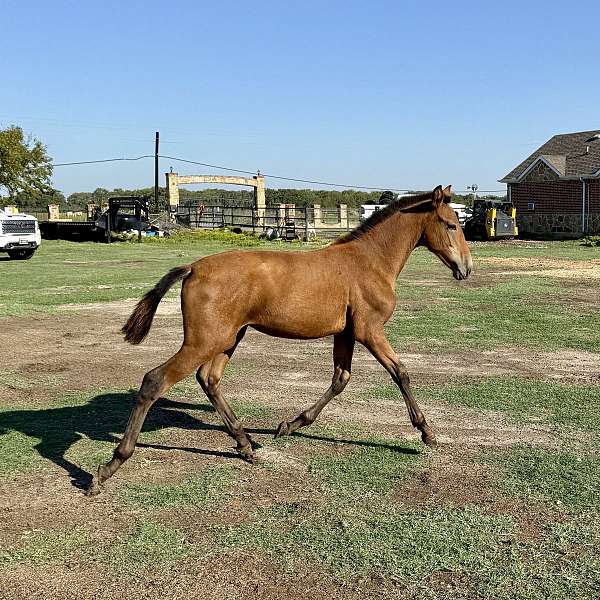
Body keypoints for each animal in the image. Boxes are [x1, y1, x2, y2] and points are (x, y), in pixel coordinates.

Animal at [86, 185, 472, 494]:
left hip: (229, 337)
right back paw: (108, 468)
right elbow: (400, 372)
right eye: (451, 224)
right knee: (155, 379)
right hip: (205, 340)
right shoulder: (370, 330)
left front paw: (289, 425)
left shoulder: (346, 333)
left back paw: (246, 445)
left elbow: (340, 379)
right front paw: (427, 432)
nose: (466, 269)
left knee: (209, 379)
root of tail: (193, 267)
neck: (369, 261)